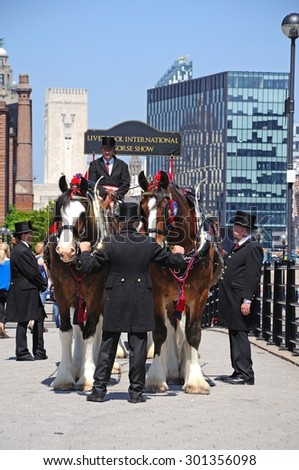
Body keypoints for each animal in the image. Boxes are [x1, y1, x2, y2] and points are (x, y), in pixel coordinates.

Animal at [45, 173, 123, 390]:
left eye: (82, 214)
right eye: (58, 211)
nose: (65, 251)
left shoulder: (96, 294)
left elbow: (91, 332)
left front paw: (88, 375)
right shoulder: (62, 293)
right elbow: (67, 331)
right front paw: (65, 375)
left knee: (98, 327)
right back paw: (77, 364)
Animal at [138, 171, 223, 394]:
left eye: (165, 206)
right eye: (141, 208)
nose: (152, 246)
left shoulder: (200, 295)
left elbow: (193, 333)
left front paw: (195, 380)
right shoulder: (157, 295)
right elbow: (161, 332)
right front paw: (156, 378)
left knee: (182, 327)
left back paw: (184, 367)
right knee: (171, 325)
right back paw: (172, 369)